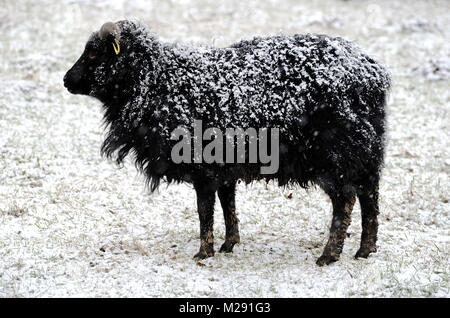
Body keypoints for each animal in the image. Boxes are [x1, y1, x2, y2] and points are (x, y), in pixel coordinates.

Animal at [63, 20, 390, 266]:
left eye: (93, 54)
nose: (66, 80)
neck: (157, 82)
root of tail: (374, 73)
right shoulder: (223, 167)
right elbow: (227, 204)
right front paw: (229, 244)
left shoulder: (203, 167)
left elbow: (205, 211)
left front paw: (204, 252)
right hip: (367, 152)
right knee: (369, 197)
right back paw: (366, 249)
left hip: (334, 155)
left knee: (345, 201)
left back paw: (329, 255)